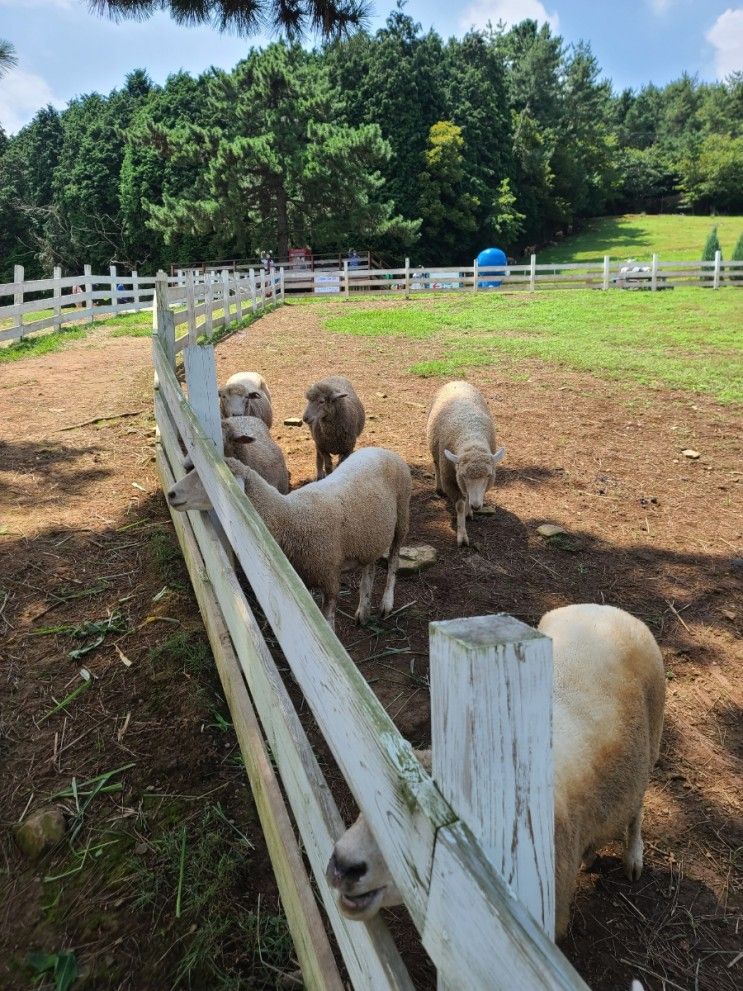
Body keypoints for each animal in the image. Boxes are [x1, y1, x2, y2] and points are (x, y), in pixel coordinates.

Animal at [167, 448, 412, 628]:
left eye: (206, 479)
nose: (171, 493)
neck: (290, 517)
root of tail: (383, 450)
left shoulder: (329, 578)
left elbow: (327, 623)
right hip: (370, 536)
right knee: (370, 566)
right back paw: (363, 609)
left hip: (402, 515)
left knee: (393, 560)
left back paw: (386, 604)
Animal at [428, 382, 508, 552]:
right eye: (464, 475)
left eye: (488, 476)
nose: (477, 506)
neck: (471, 438)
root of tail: (456, 381)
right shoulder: (451, 479)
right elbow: (459, 505)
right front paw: (462, 536)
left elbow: (467, 497)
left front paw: (469, 511)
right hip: (435, 450)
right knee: (436, 464)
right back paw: (439, 488)